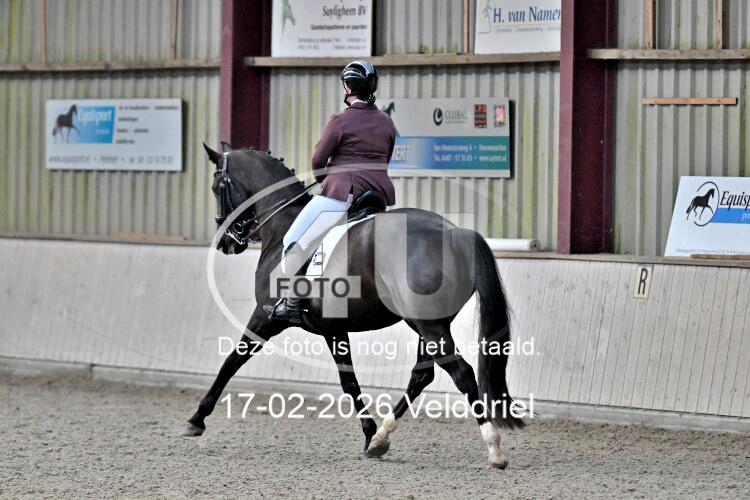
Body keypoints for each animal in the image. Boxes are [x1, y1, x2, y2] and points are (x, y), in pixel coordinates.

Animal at [182, 144, 523, 469]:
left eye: (216, 186)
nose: (226, 242)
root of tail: (455, 234)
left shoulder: (266, 318)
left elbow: (231, 361)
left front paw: (196, 419)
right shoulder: (333, 328)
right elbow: (350, 381)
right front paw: (370, 435)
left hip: (429, 325)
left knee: (462, 374)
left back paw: (493, 449)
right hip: (428, 324)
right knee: (422, 376)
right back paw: (382, 438)